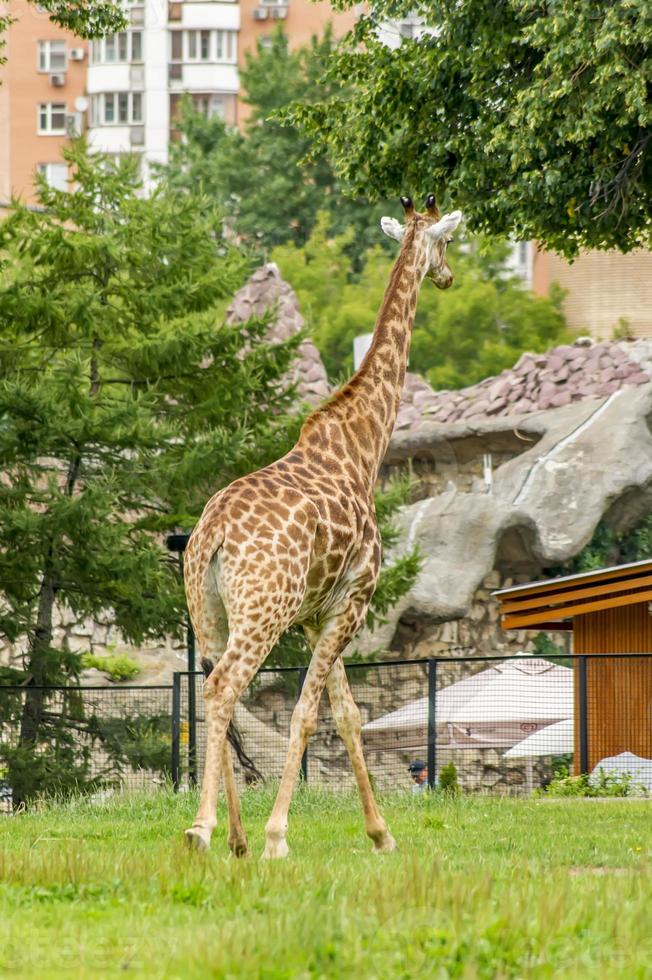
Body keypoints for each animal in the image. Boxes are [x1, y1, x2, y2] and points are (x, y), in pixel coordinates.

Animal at [183, 195, 464, 852]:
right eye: (446, 242)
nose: (447, 278)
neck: (363, 447)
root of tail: (212, 536)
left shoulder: (319, 614)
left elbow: (349, 714)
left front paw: (381, 834)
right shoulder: (354, 600)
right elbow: (309, 714)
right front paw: (279, 837)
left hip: (207, 612)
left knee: (213, 690)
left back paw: (233, 837)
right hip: (263, 611)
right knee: (224, 686)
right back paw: (205, 829)